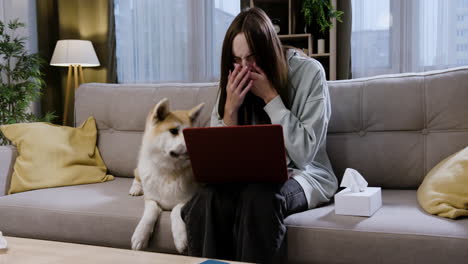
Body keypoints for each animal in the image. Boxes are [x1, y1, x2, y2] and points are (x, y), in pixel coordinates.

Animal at [131, 97, 206, 252]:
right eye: (173, 131)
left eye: (189, 132)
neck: (169, 171)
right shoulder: (151, 199)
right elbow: (150, 213)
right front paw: (141, 235)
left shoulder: (188, 199)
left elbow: (175, 210)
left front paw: (180, 237)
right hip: (140, 168)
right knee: (136, 175)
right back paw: (135, 188)